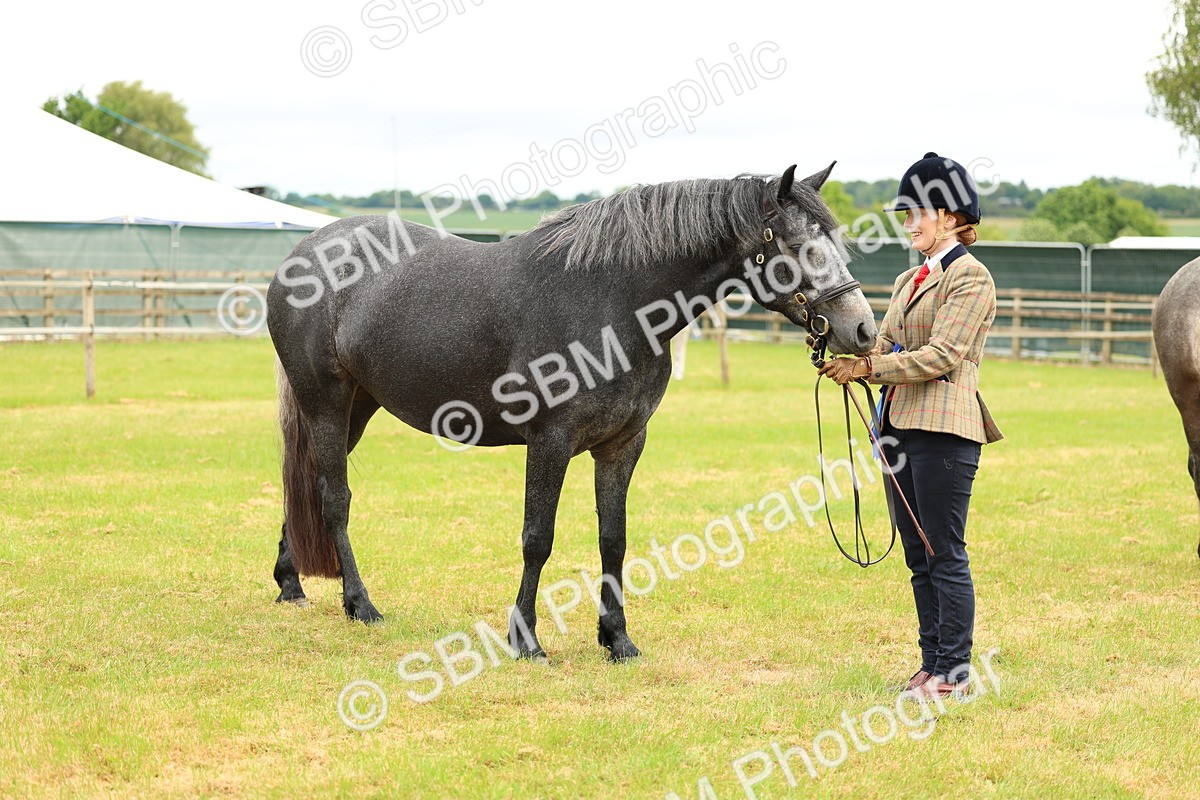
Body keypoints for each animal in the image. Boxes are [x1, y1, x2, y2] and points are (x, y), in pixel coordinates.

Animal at [266, 163, 878, 661]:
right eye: (799, 245)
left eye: (834, 240)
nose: (863, 331)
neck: (613, 303)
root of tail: (300, 257)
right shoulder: (550, 441)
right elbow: (538, 536)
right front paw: (526, 640)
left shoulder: (622, 445)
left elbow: (614, 539)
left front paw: (617, 639)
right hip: (326, 401)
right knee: (334, 496)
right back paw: (359, 603)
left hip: (357, 407)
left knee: (308, 484)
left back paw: (290, 582)